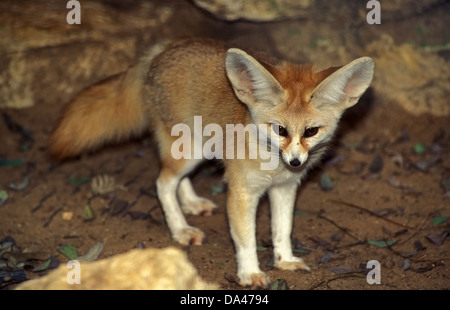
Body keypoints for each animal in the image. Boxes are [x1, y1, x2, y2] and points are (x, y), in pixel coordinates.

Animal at [49, 38, 374, 288]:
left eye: (310, 132)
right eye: (279, 130)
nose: (295, 162)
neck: (272, 164)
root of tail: (163, 48)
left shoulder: (285, 188)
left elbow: (282, 230)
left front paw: (285, 260)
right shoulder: (242, 192)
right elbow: (245, 238)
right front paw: (250, 273)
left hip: (199, 150)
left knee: (177, 181)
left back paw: (191, 203)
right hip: (188, 153)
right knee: (162, 182)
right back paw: (180, 229)